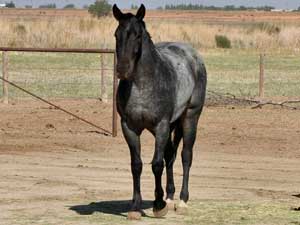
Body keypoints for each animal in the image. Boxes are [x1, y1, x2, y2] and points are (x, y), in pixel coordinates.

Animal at [112, 3, 206, 220]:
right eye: (116, 34)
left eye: (138, 35)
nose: (122, 69)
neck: (141, 86)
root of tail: (193, 55)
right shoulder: (129, 128)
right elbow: (136, 165)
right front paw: (136, 207)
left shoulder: (161, 125)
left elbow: (156, 164)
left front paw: (158, 205)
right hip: (171, 125)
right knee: (170, 155)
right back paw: (170, 198)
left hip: (190, 117)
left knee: (185, 156)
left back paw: (182, 201)